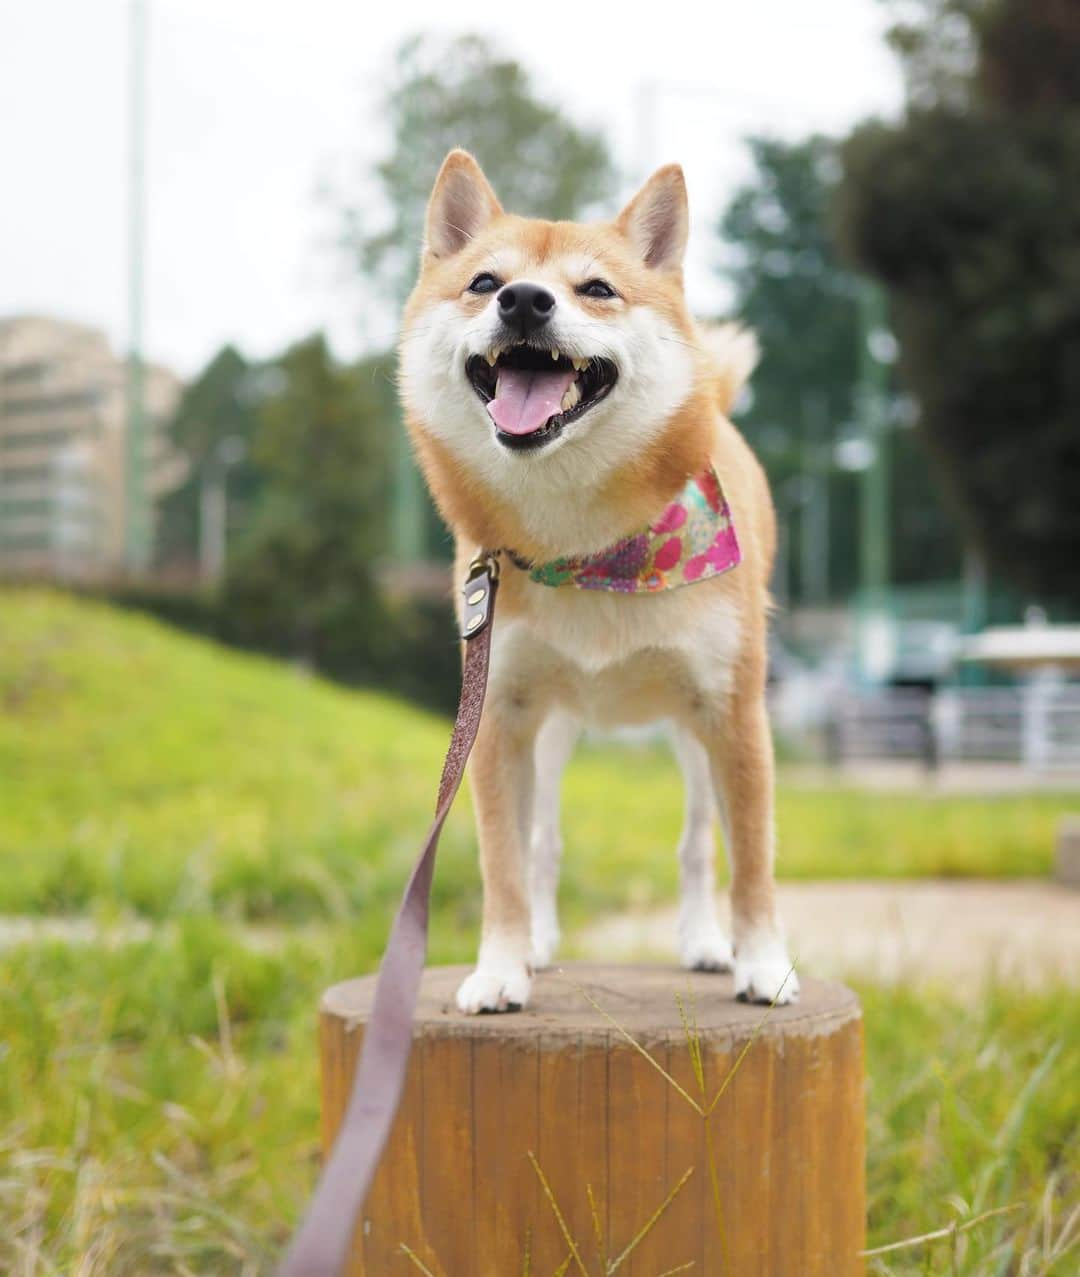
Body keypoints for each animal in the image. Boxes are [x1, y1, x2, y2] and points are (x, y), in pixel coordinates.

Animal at [400, 149, 801, 1011]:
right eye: (485, 282)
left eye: (597, 289)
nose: (523, 300)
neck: (588, 548)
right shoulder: (498, 717)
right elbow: (504, 862)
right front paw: (501, 966)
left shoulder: (735, 712)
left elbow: (753, 859)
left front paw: (763, 961)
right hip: (552, 732)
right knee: (544, 842)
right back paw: (541, 942)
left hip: (692, 732)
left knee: (697, 844)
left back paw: (704, 942)